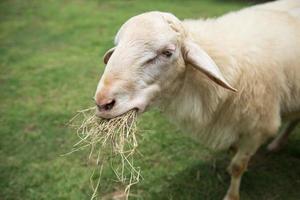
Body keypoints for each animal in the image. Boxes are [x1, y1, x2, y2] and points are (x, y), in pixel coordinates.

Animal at [94, 0, 300, 199]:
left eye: (167, 52)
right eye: (117, 46)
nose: (103, 103)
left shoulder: (259, 128)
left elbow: (237, 166)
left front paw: (231, 195)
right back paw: (277, 144)